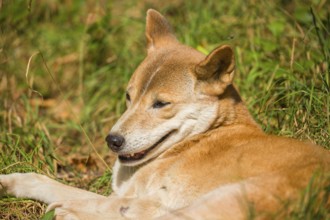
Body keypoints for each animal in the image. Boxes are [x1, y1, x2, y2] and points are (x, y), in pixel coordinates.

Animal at [0, 9, 330, 220]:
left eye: (160, 104)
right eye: (128, 96)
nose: (112, 140)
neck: (204, 135)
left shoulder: (143, 198)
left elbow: (104, 204)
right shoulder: (124, 194)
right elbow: (52, 184)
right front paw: (12, 182)